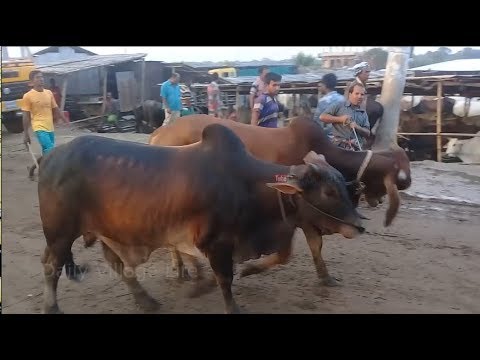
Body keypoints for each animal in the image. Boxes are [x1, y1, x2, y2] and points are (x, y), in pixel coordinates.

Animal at [39, 122, 362, 314]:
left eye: (343, 185)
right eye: (329, 191)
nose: (358, 225)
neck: (248, 184)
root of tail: (50, 157)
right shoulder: (216, 243)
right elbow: (225, 279)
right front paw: (230, 304)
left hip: (107, 231)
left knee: (118, 265)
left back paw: (147, 302)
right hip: (60, 233)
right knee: (52, 268)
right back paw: (52, 308)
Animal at [150, 114, 412, 286]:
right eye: (397, 180)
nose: (378, 202)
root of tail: (159, 134)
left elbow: (315, 248)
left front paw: (325, 278)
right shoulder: (293, 217)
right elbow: (287, 253)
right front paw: (249, 269)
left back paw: (181, 267)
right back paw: (183, 267)